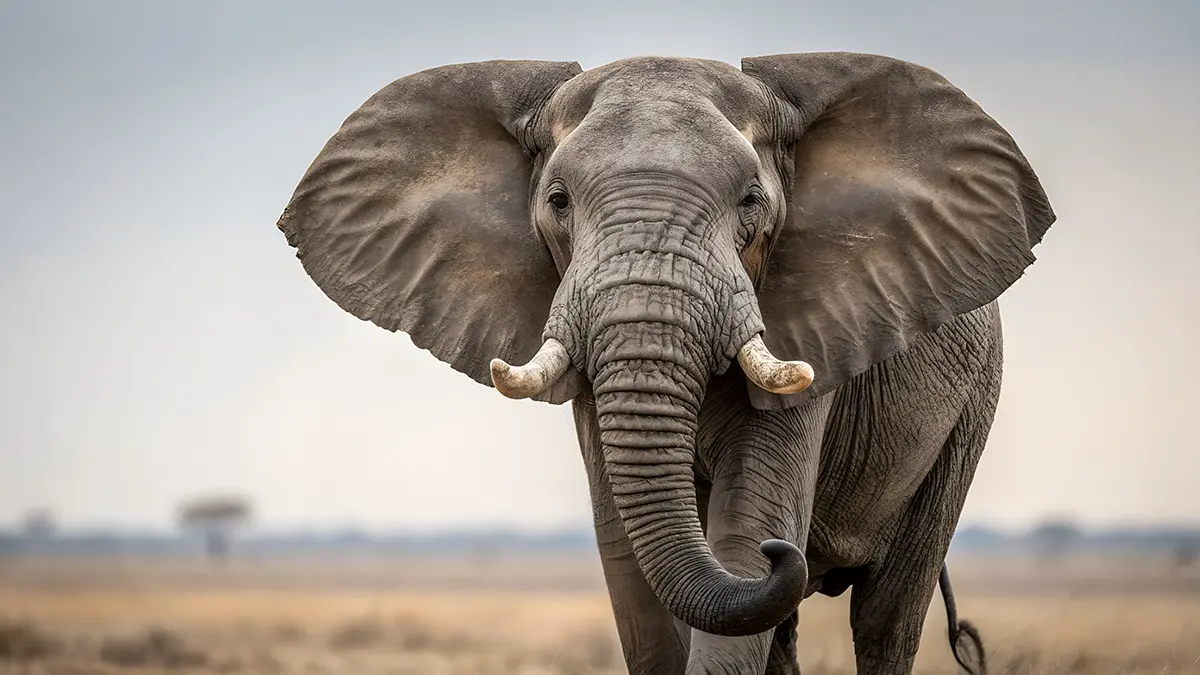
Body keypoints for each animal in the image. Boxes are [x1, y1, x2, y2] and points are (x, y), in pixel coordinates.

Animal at [275, 52, 1055, 675]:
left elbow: (744, 525)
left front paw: (757, 539)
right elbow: (630, 563)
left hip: (967, 412)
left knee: (887, 615)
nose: (785, 551)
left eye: (751, 201)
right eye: (557, 201)